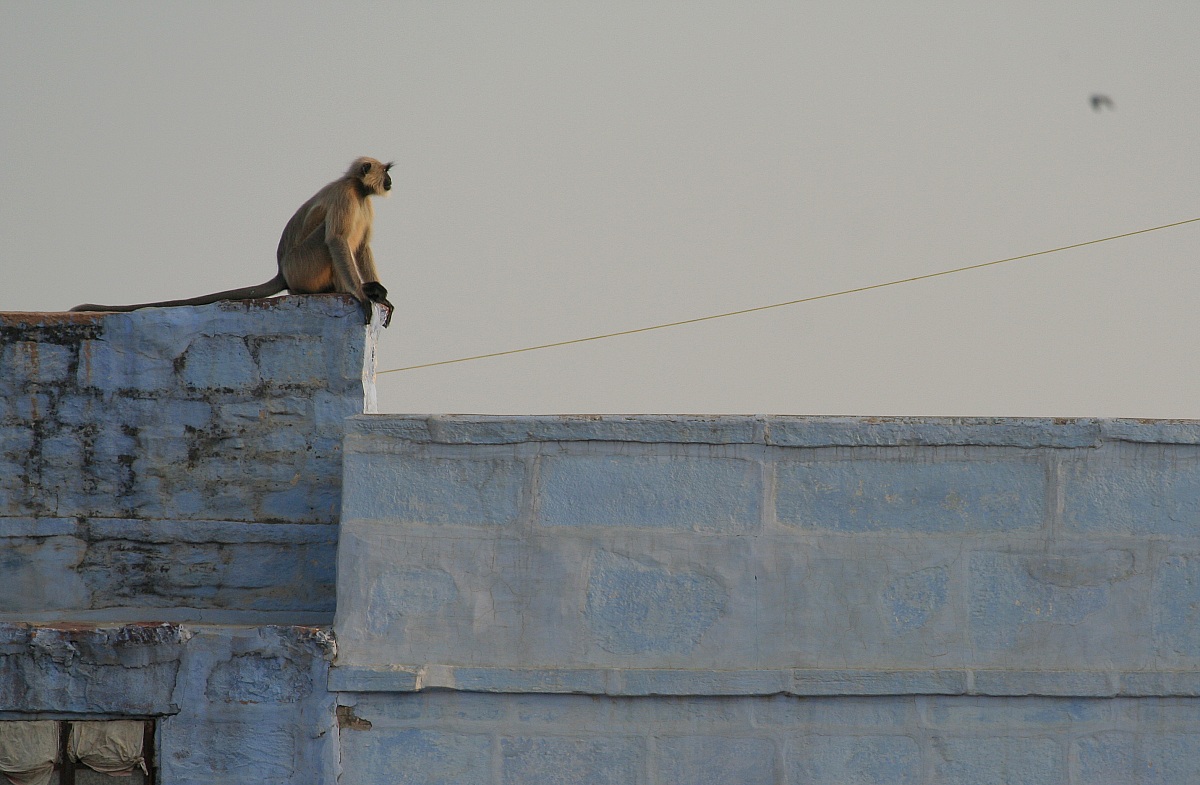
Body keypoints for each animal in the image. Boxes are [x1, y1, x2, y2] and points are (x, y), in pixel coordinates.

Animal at [72, 157, 395, 327]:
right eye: (387, 172)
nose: (391, 181)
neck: (358, 190)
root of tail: (282, 271)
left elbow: (362, 248)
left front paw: (380, 296)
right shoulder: (345, 196)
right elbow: (338, 241)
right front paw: (363, 296)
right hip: (303, 264)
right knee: (327, 239)